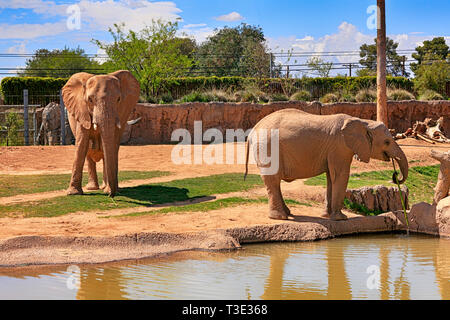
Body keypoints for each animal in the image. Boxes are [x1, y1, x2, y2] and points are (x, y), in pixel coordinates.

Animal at [244, 109, 410, 221]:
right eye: (387, 142)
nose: (395, 176)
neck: (363, 122)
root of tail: (252, 131)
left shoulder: (335, 151)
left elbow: (331, 177)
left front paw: (326, 215)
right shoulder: (340, 147)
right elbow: (340, 176)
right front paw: (341, 219)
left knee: (274, 182)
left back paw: (288, 213)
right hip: (267, 147)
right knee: (272, 180)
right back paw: (280, 217)